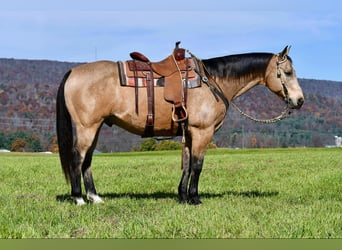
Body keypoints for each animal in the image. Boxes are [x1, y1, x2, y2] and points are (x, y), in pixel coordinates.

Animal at [56, 44, 304, 205]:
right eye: (288, 72)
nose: (299, 100)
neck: (213, 81)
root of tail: (73, 72)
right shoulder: (202, 132)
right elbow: (197, 165)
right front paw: (194, 198)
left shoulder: (189, 133)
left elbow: (186, 165)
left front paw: (182, 196)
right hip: (87, 128)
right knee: (77, 158)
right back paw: (78, 199)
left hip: (95, 127)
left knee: (87, 161)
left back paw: (95, 197)